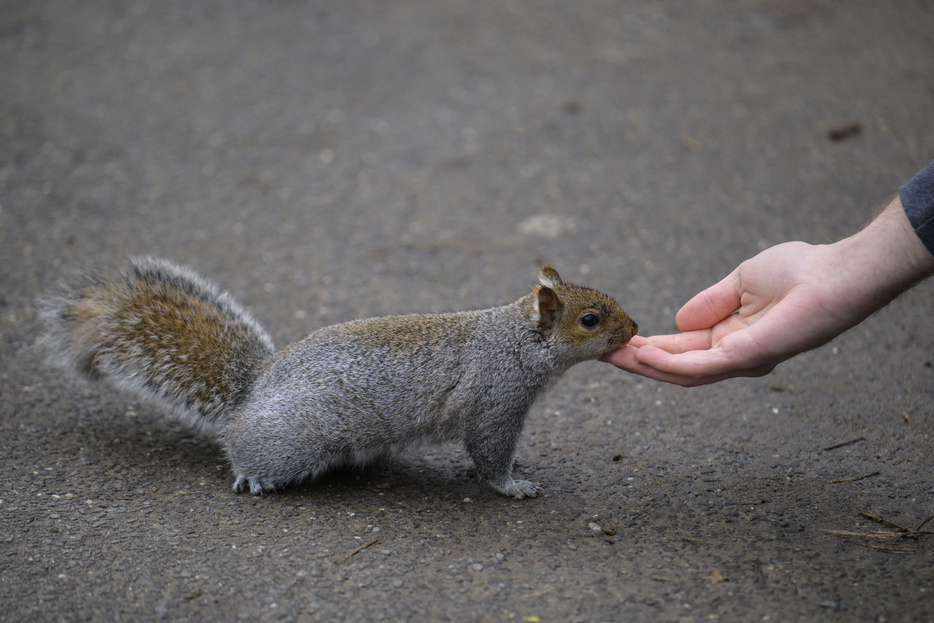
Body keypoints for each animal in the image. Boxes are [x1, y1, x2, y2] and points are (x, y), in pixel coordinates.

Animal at [36, 258, 636, 498]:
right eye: (590, 320)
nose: (634, 329)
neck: (512, 340)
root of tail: (256, 389)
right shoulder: (494, 399)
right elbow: (489, 452)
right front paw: (513, 485)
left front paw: (519, 469)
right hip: (292, 439)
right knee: (244, 446)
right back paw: (252, 476)